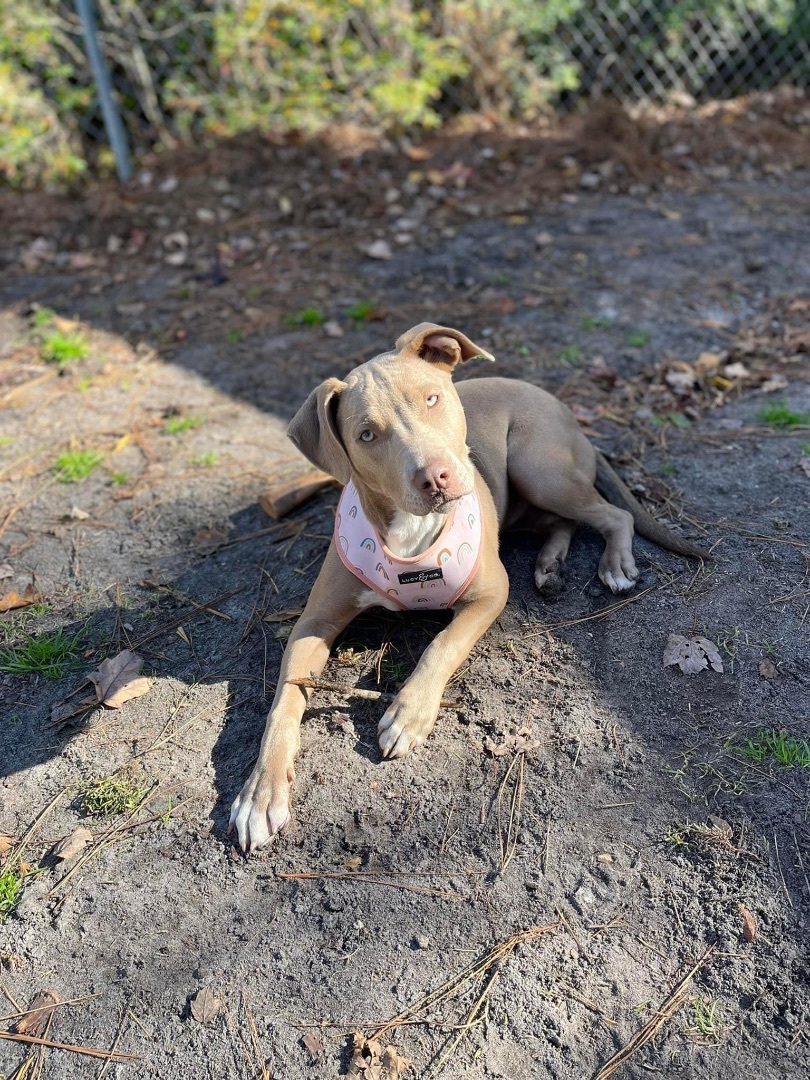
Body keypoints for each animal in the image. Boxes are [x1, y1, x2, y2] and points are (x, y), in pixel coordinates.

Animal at [228, 321, 704, 851]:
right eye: (366, 434)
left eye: (432, 398)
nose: (435, 477)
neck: (411, 534)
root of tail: (552, 399)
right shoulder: (313, 623)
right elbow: (282, 703)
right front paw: (260, 792)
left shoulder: (489, 595)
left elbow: (443, 642)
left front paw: (408, 712)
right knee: (562, 523)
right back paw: (549, 565)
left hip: (538, 468)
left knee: (612, 514)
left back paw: (615, 564)